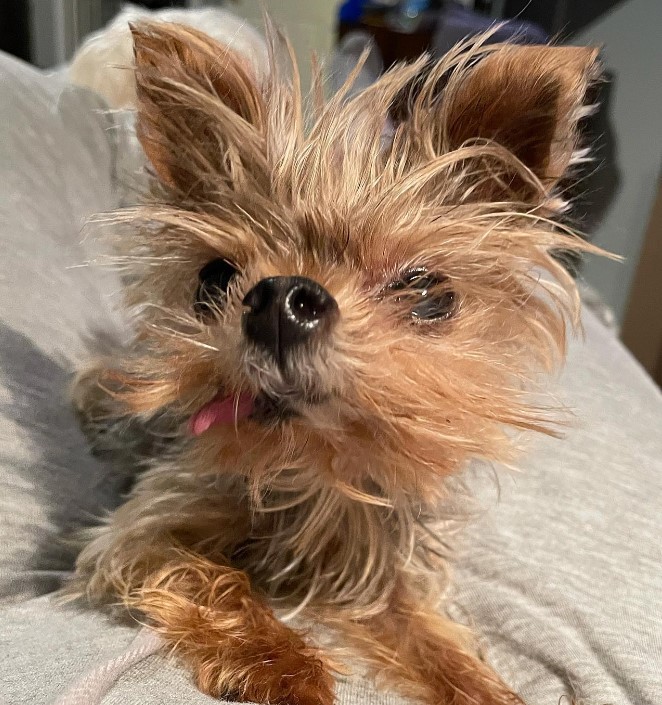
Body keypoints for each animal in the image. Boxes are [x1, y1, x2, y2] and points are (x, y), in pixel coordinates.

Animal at [71, 20, 600, 704]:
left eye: (425, 292)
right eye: (214, 279)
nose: (279, 302)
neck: (313, 470)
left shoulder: (387, 571)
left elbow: (435, 642)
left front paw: (485, 687)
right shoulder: (143, 532)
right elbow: (204, 574)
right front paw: (278, 662)